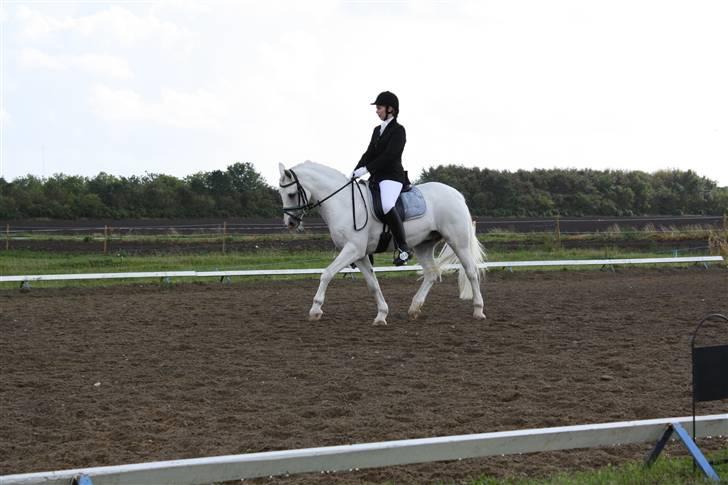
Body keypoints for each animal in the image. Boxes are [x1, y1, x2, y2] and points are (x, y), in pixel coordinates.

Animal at [276, 160, 486, 326]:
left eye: (292, 194)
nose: (290, 223)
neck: (343, 203)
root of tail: (457, 194)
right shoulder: (359, 255)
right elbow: (372, 284)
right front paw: (381, 315)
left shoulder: (352, 249)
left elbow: (326, 274)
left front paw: (315, 310)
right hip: (423, 245)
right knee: (432, 274)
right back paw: (414, 308)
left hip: (458, 242)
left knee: (471, 271)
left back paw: (478, 310)